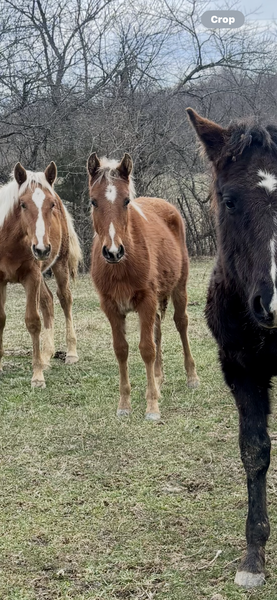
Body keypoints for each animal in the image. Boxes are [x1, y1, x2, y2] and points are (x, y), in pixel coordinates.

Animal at [0, 159, 82, 386]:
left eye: (51, 204)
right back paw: (47, 354)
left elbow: (33, 321)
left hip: (59, 266)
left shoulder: (32, 277)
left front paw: (37, 376)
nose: (41, 249)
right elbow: (1, 319)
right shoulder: (0, 280)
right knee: (47, 301)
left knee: (64, 299)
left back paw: (70, 353)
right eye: (22, 204)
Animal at [87, 152, 197, 420]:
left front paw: (152, 407)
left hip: (179, 288)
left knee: (181, 323)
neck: (121, 265)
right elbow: (122, 349)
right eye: (94, 202)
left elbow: (147, 349)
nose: (113, 251)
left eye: (126, 201)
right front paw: (124, 405)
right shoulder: (111, 307)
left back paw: (191, 377)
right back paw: (158, 378)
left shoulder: (146, 300)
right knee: (157, 329)